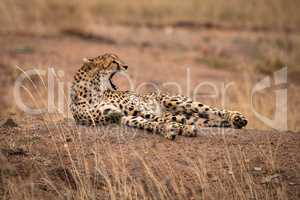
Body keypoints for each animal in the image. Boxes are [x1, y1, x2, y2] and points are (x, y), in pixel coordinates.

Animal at [69, 54, 246, 140]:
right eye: (113, 61)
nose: (126, 66)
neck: (94, 90)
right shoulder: (121, 117)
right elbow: (149, 123)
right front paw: (170, 130)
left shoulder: (137, 110)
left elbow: (157, 119)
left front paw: (177, 129)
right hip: (183, 115)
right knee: (205, 120)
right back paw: (230, 123)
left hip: (174, 101)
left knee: (214, 110)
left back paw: (237, 117)